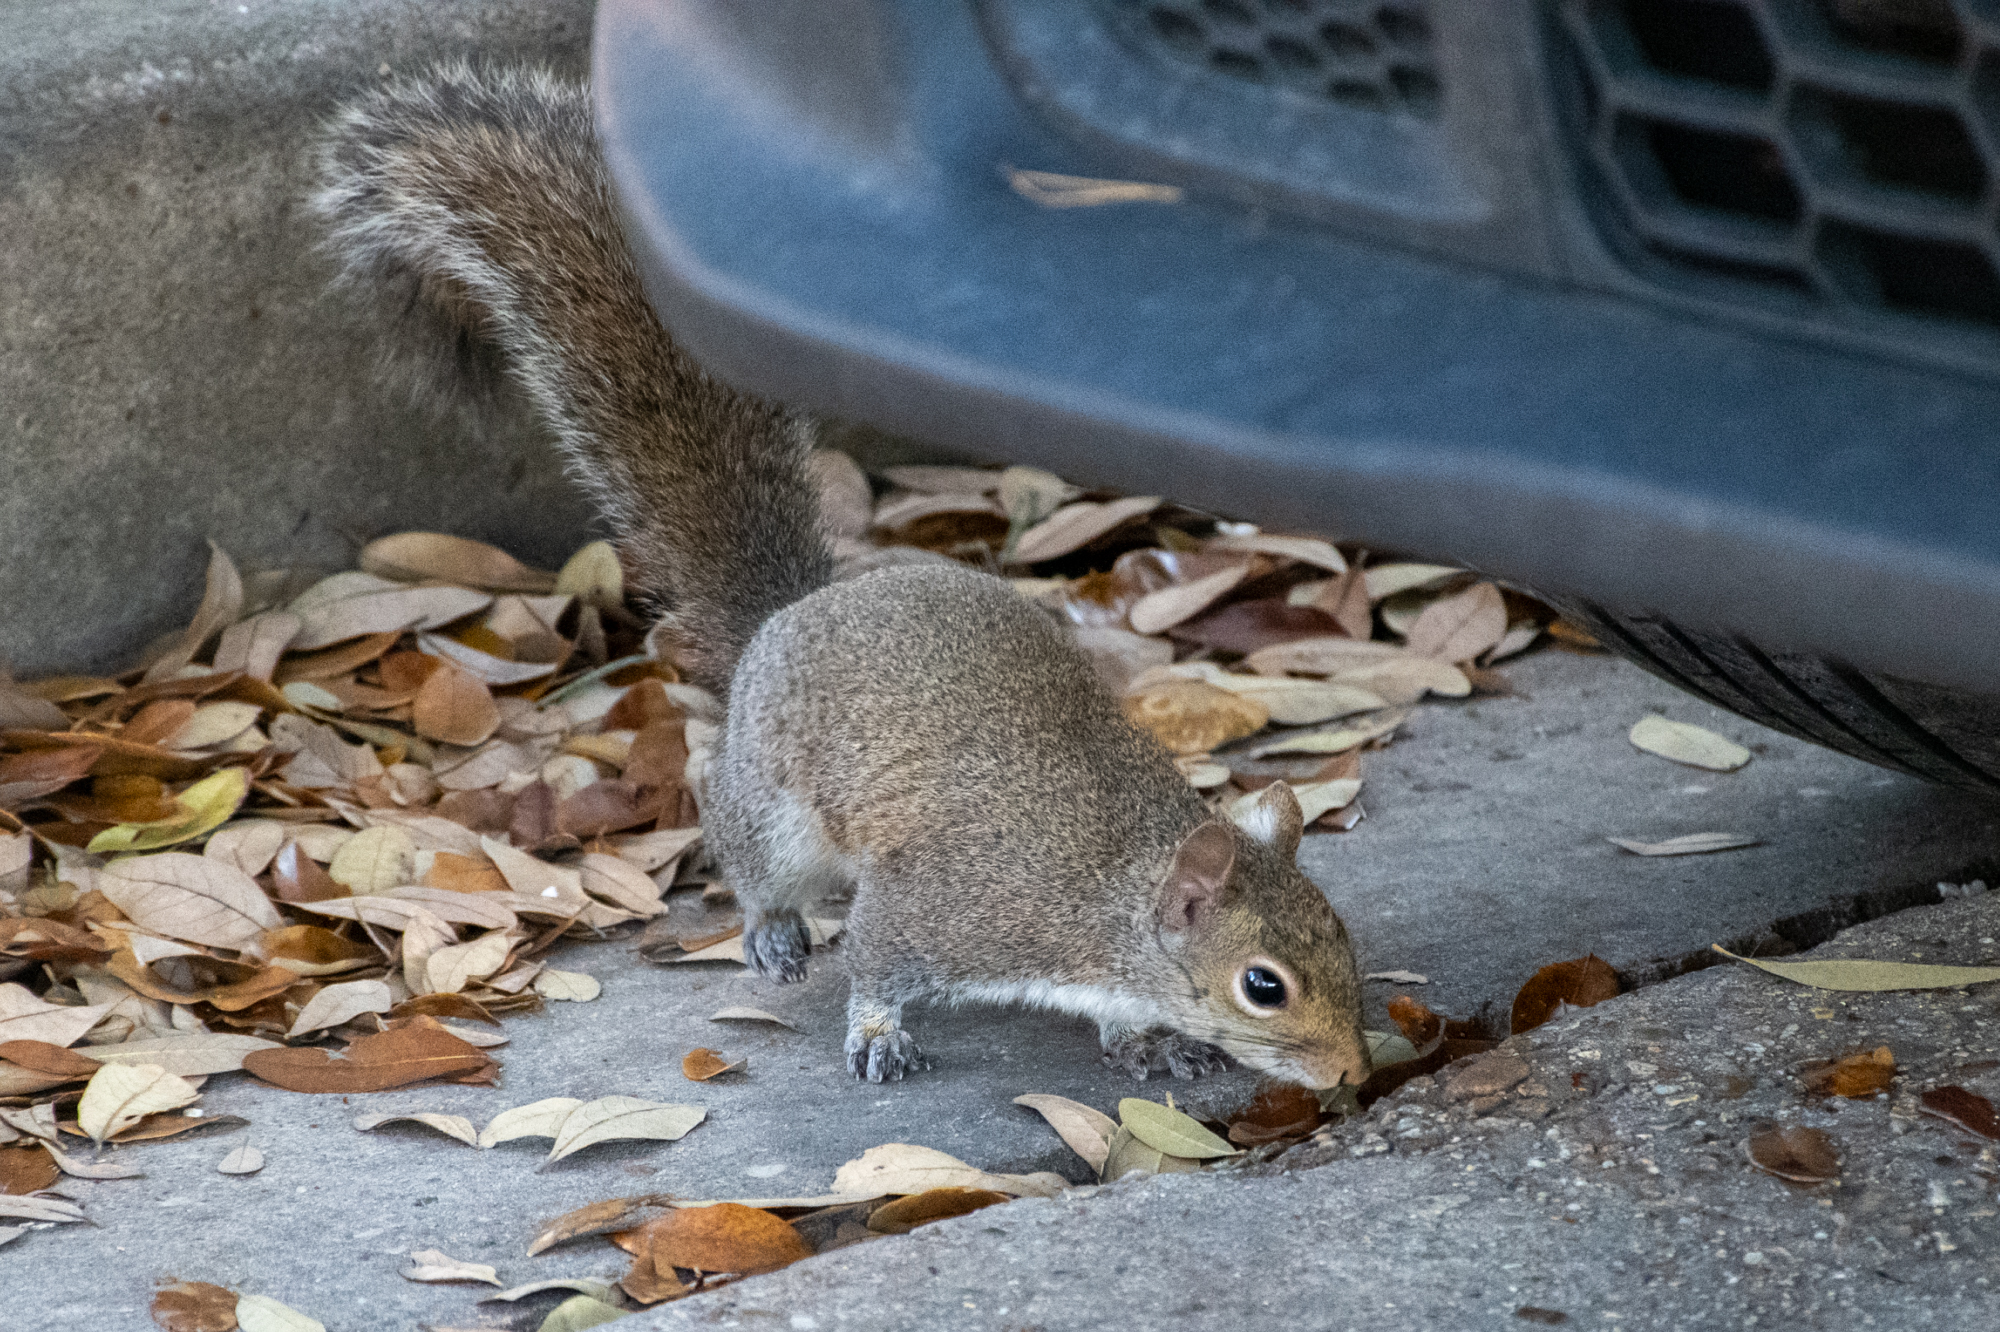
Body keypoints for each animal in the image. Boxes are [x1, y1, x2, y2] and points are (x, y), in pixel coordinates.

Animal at [312, 62, 1376, 1088]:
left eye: (1342, 940)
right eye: (1263, 986)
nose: (1352, 1072)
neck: (1113, 893)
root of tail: (800, 608)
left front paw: (1147, 1042)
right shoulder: (946, 906)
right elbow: (878, 961)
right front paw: (876, 1034)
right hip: (777, 806)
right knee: (745, 846)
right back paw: (772, 929)